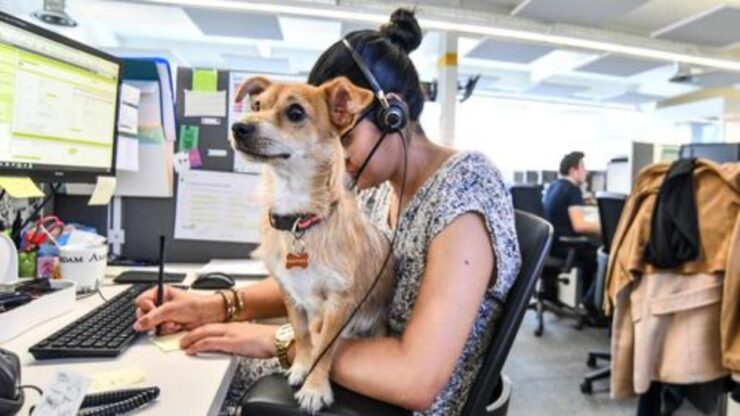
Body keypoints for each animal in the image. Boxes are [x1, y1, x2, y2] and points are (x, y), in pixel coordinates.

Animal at [231, 75, 396, 412]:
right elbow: (304, 333)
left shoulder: (339, 302)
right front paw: (301, 366)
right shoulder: (290, 294)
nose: (238, 127)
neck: (299, 219)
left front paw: (315, 387)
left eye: (295, 113)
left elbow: (325, 346)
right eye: (257, 105)